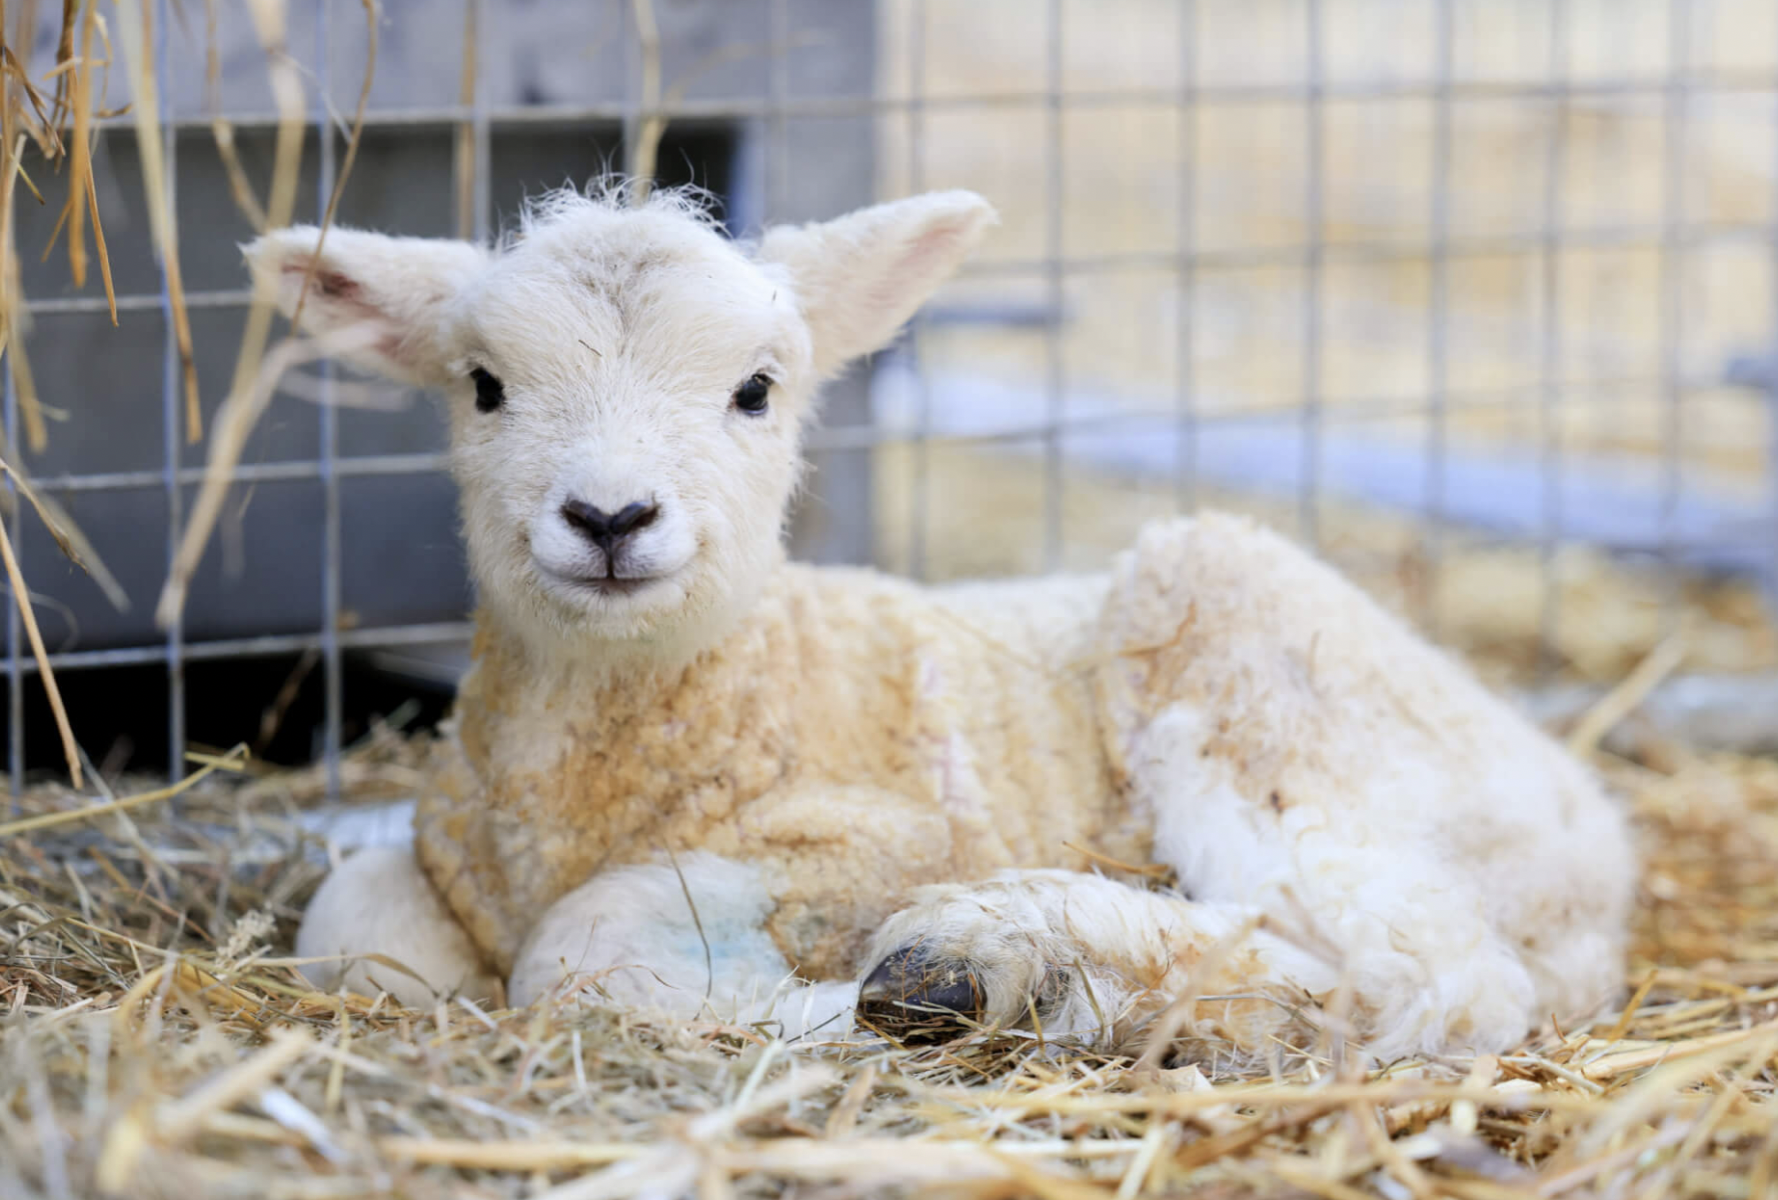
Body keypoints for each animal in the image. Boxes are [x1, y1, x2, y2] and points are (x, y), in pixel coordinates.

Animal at [256, 184, 1636, 1063]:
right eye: (483, 388)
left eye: (755, 390)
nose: (608, 515)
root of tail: (1593, 844)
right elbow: (352, 926)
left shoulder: (879, 833)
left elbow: (582, 944)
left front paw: (809, 1009)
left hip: (1261, 673)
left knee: (1428, 976)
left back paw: (1017, 960)